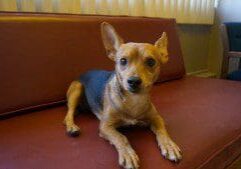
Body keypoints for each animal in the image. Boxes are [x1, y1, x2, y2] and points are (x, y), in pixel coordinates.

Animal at [63, 22, 182, 169]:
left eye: (151, 62)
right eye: (123, 61)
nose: (133, 81)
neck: (133, 100)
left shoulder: (156, 118)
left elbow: (162, 130)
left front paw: (169, 145)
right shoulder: (105, 127)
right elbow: (121, 137)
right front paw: (128, 154)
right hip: (77, 89)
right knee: (69, 113)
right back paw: (71, 126)